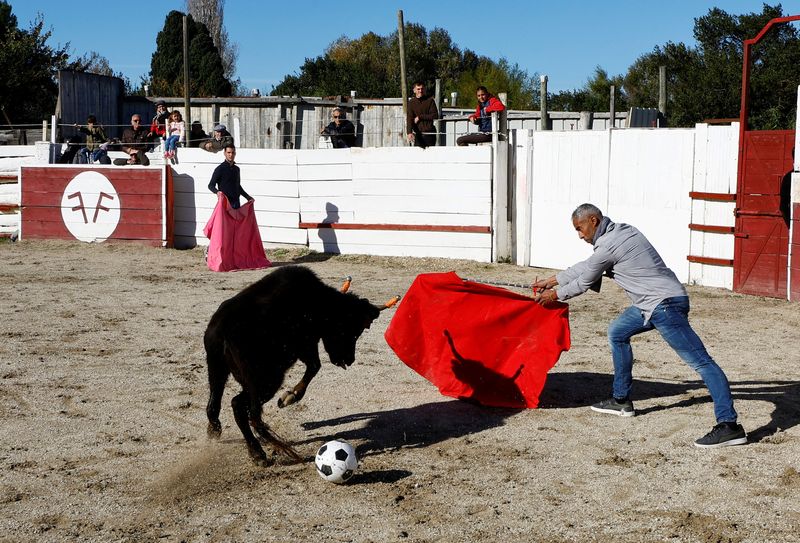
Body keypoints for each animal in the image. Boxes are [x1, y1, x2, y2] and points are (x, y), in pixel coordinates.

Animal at [205, 266, 390, 466]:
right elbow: (315, 366)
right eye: (351, 331)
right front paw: (290, 397)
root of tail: (222, 330)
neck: (321, 304)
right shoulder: (307, 345)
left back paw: (223, 434)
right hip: (266, 381)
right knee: (242, 408)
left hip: (217, 369)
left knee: (215, 404)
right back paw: (260, 453)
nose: (349, 360)